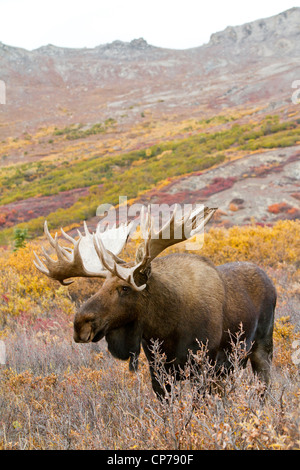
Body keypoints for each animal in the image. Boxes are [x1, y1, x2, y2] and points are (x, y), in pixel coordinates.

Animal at [33, 206, 276, 396]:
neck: (165, 327)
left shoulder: (203, 367)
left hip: (262, 348)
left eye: (125, 288)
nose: (80, 324)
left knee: (264, 388)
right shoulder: (159, 373)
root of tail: (269, 281)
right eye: (101, 286)